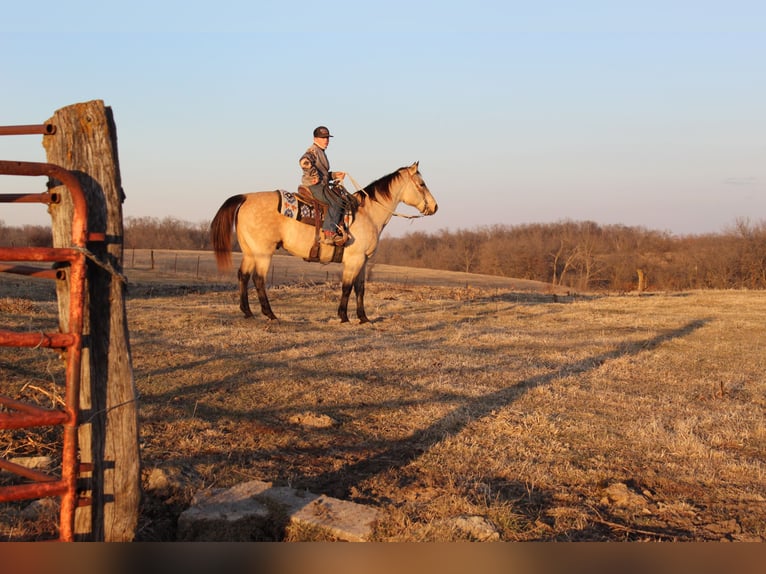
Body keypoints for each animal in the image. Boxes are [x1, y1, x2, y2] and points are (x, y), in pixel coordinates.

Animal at [212, 163, 438, 324]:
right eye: (422, 184)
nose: (435, 207)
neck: (368, 214)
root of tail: (245, 197)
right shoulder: (354, 260)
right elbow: (347, 287)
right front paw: (343, 317)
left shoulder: (363, 261)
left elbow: (360, 288)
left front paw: (364, 318)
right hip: (263, 252)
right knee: (258, 279)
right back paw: (270, 314)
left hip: (250, 251)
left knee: (243, 275)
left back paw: (248, 312)